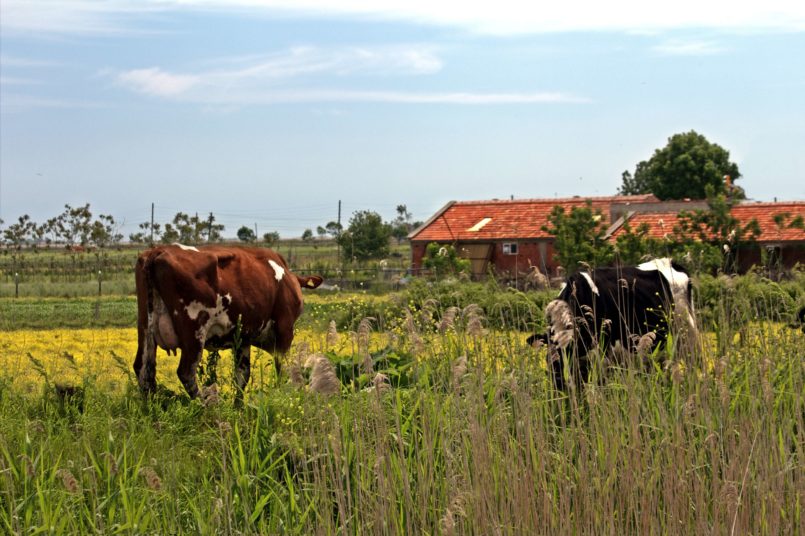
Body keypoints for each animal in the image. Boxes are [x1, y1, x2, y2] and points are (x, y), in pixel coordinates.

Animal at [133, 244, 322, 398]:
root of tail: (158, 250)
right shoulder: (285, 329)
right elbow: (282, 370)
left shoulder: (243, 338)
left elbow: (242, 376)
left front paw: (238, 408)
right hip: (194, 331)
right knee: (186, 372)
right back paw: (207, 406)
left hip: (145, 328)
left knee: (143, 370)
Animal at [528, 258, 696, 390]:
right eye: (551, 359)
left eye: (572, 351)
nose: (563, 384)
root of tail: (669, 261)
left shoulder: (604, 358)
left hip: (687, 335)